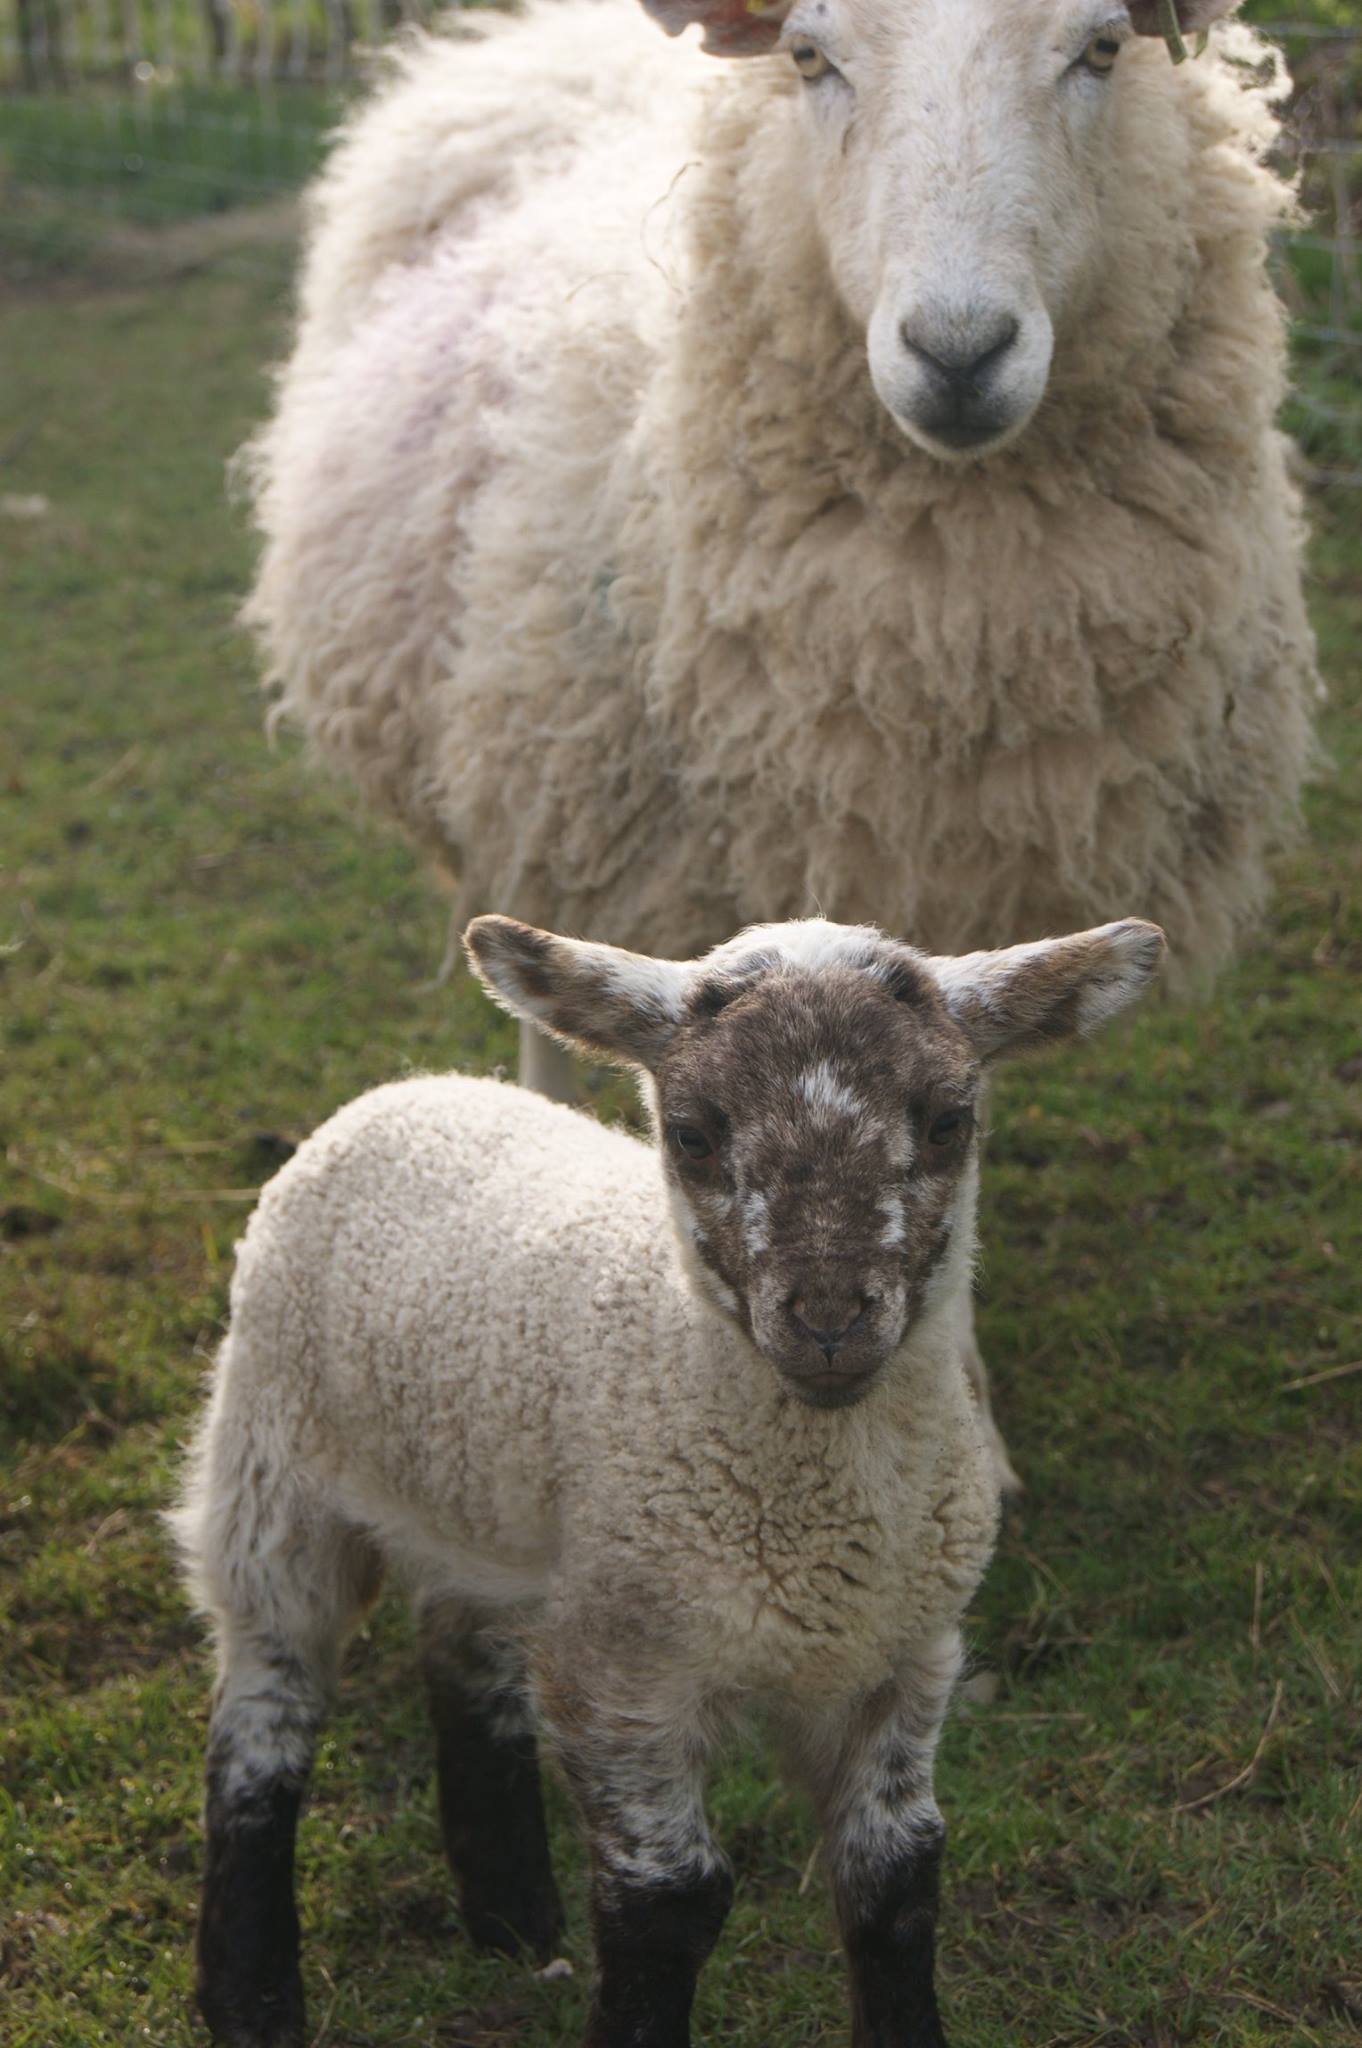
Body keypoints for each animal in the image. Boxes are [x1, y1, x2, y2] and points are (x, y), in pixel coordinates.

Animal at [171, 909, 1165, 2048]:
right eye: (691, 1132)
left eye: (951, 1120)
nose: (830, 1321)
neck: (828, 1529)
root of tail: (412, 1090)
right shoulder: (623, 1670)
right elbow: (670, 1899)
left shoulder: (907, 1657)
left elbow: (897, 1876)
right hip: (272, 1468)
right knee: (264, 1708)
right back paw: (250, 1994)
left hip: (496, 1514)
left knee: (459, 1651)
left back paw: (510, 1916)